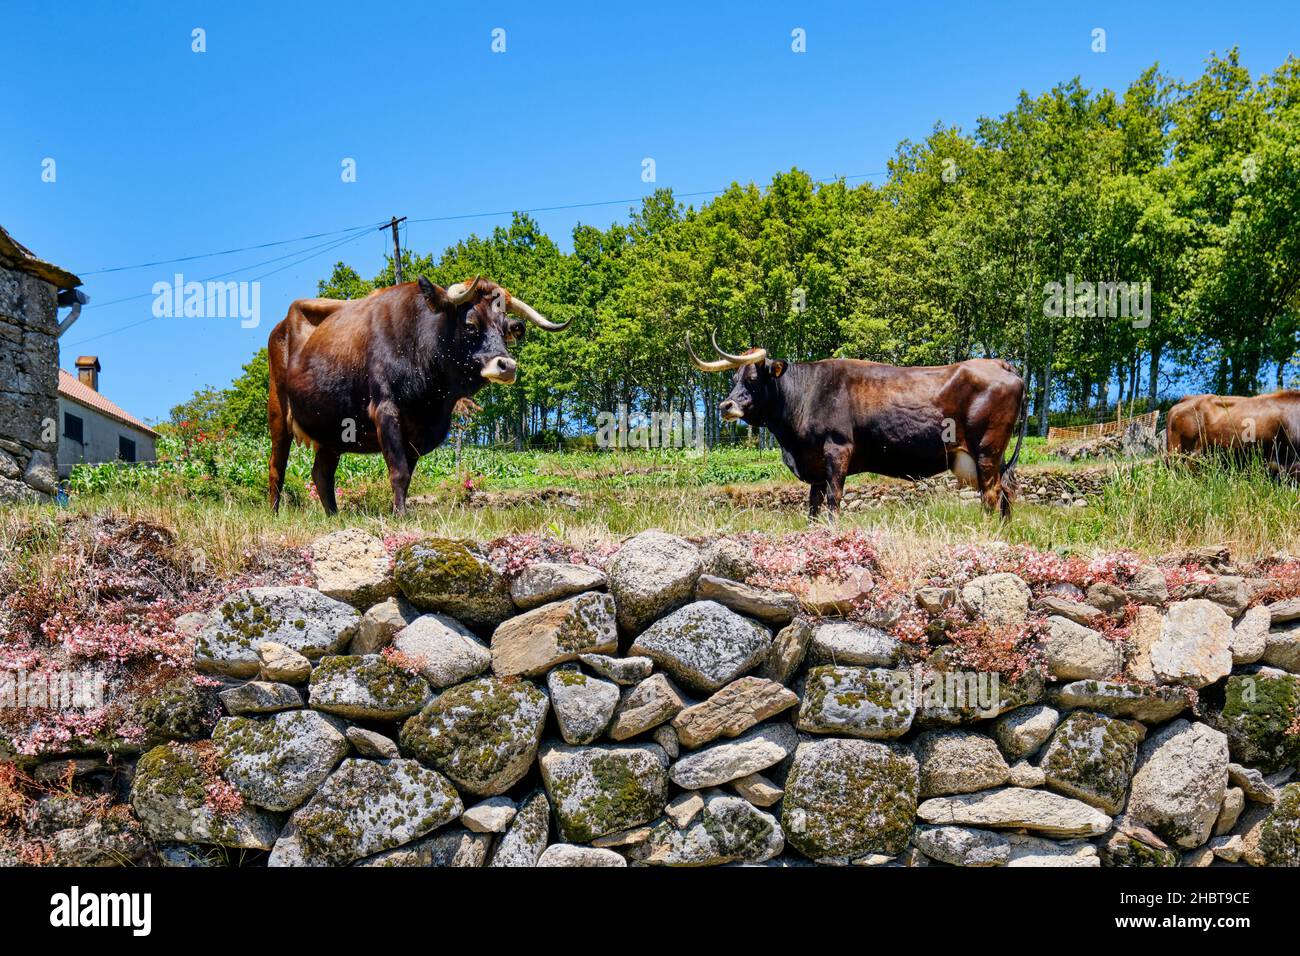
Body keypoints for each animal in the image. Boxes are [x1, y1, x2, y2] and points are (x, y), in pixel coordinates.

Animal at [266, 277, 566, 515]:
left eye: (505, 330)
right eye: (470, 324)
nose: (507, 366)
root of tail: (281, 325)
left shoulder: (422, 430)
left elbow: (407, 475)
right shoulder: (386, 411)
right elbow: (398, 470)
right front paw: (400, 515)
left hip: (332, 430)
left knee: (322, 474)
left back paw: (334, 516)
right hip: (278, 411)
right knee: (276, 467)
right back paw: (275, 513)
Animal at [686, 335, 1029, 520]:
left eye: (754, 378)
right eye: (734, 378)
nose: (725, 406)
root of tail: (998, 363)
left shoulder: (837, 450)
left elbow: (834, 497)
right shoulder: (814, 464)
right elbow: (813, 504)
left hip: (987, 450)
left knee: (991, 494)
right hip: (992, 457)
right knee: (1006, 492)